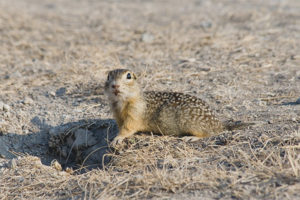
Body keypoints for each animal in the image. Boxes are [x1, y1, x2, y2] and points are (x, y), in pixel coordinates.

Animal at [105, 69, 251, 145]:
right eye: (108, 76)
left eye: (128, 76)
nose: (115, 85)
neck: (122, 101)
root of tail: (218, 124)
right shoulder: (118, 115)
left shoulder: (135, 113)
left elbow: (128, 128)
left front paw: (117, 138)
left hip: (193, 125)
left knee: (208, 134)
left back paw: (191, 137)